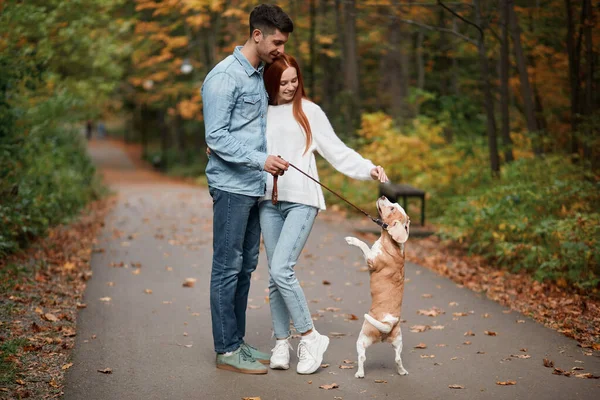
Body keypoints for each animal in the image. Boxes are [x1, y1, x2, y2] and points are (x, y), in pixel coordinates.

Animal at [344, 196, 410, 378]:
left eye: (393, 208)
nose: (382, 196)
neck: (391, 242)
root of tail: (388, 324)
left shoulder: (371, 259)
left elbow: (363, 245)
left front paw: (352, 240)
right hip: (399, 341)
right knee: (398, 359)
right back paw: (402, 371)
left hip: (362, 338)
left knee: (362, 357)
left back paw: (359, 373)